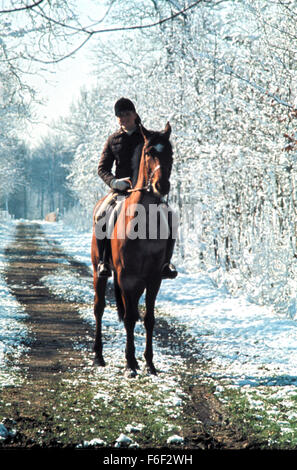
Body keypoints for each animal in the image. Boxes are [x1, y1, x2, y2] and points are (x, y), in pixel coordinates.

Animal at [91, 123, 173, 376]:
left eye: (170, 152)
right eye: (148, 152)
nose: (161, 186)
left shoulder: (154, 278)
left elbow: (148, 319)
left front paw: (149, 363)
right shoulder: (127, 277)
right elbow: (129, 318)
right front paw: (130, 364)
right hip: (99, 272)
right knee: (99, 308)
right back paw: (98, 356)